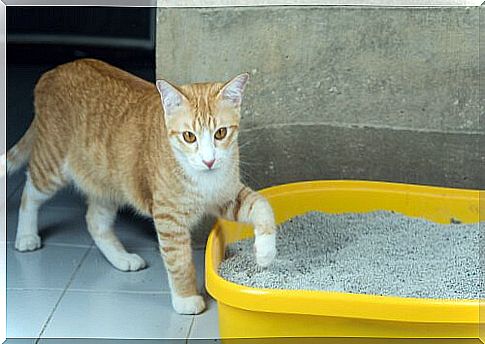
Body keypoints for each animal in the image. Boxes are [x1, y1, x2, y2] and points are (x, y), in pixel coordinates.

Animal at [6, 59, 276, 314]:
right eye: (189, 136)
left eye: (220, 133)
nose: (209, 160)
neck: (202, 177)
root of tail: (55, 71)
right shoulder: (168, 217)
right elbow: (179, 261)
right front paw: (186, 298)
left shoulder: (227, 195)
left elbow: (263, 205)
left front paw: (265, 252)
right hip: (51, 165)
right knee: (29, 194)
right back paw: (26, 236)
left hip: (109, 184)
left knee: (95, 221)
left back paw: (122, 258)